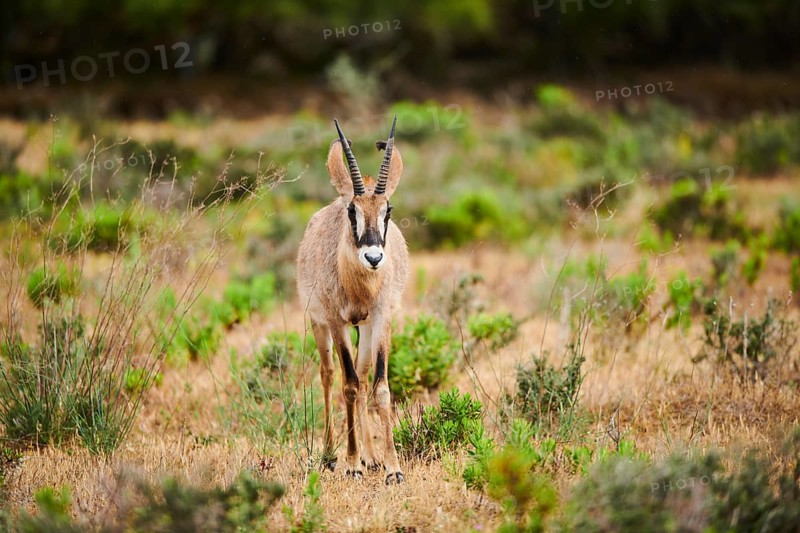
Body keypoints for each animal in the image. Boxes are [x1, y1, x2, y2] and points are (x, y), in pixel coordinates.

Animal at [296, 117, 408, 484]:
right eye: (352, 210)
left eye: (387, 210)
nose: (373, 257)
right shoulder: (336, 320)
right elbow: (348, 385)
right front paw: (350, 463)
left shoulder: (382, 318)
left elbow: (379, 386)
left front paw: (392, 468)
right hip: (320, 324)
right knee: (329, 373)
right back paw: (332, 455)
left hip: (364, 328)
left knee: (361, 373)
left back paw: (371, 457)